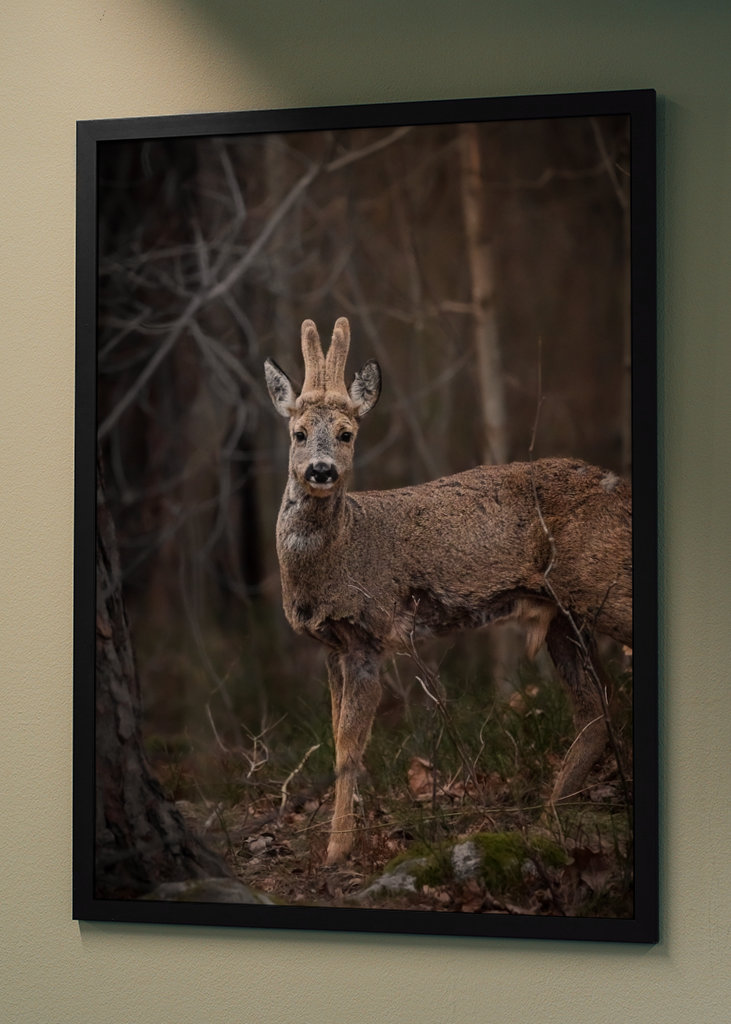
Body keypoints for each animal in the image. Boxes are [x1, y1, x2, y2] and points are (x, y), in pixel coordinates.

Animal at [265, 317, 632, 865]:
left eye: (348, 433)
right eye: (299, 433)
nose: (321, 470)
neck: (343, 548)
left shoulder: (369, 632)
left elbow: (350, 746)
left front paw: (337, 850)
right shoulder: (331, 645)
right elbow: (334, 736)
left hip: (602, 585)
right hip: (564, 615)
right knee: (596, 706)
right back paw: (547, 822)